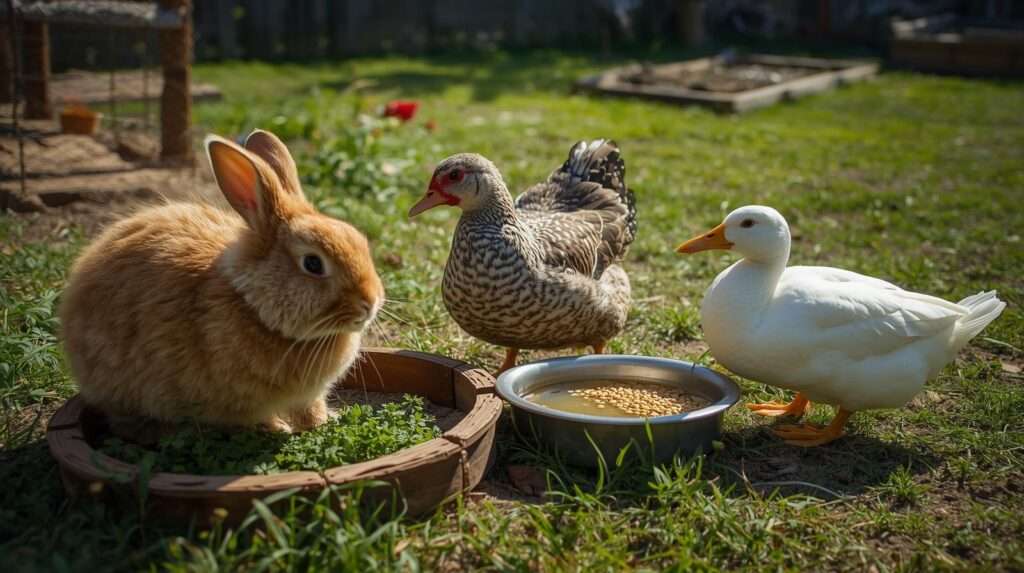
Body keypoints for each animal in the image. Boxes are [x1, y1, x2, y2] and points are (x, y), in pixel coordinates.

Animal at [59, 129, 384, 434]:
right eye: (313, 263)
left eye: (359, 239)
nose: (370, 303)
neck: (254, 307)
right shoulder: (246, 403)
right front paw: (281, 427)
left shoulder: (309, 396)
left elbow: (311, 409)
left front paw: (325, 421)